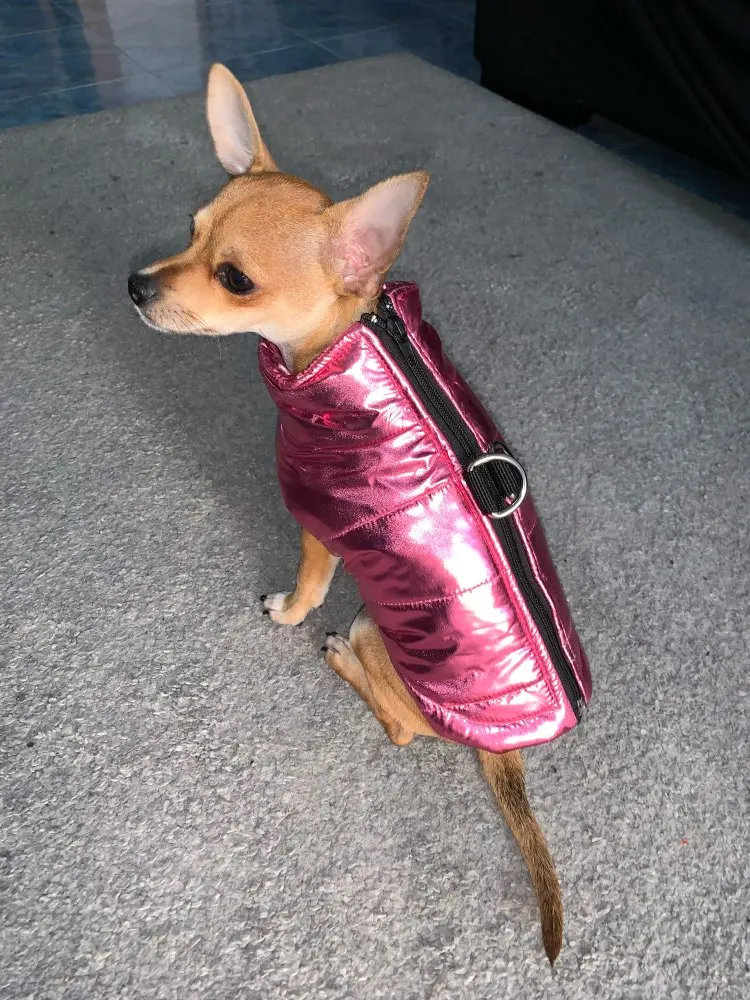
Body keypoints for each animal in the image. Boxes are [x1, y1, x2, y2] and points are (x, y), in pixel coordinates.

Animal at [129, 63, 567, 964]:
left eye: (235, 279)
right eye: (189, 230)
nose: (135, 285)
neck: (349, 349)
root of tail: (505, 751)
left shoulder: (318, 526)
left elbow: (302, 590)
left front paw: (289, 611)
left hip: (374, 629)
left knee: (397, 726)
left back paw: (337, 657)